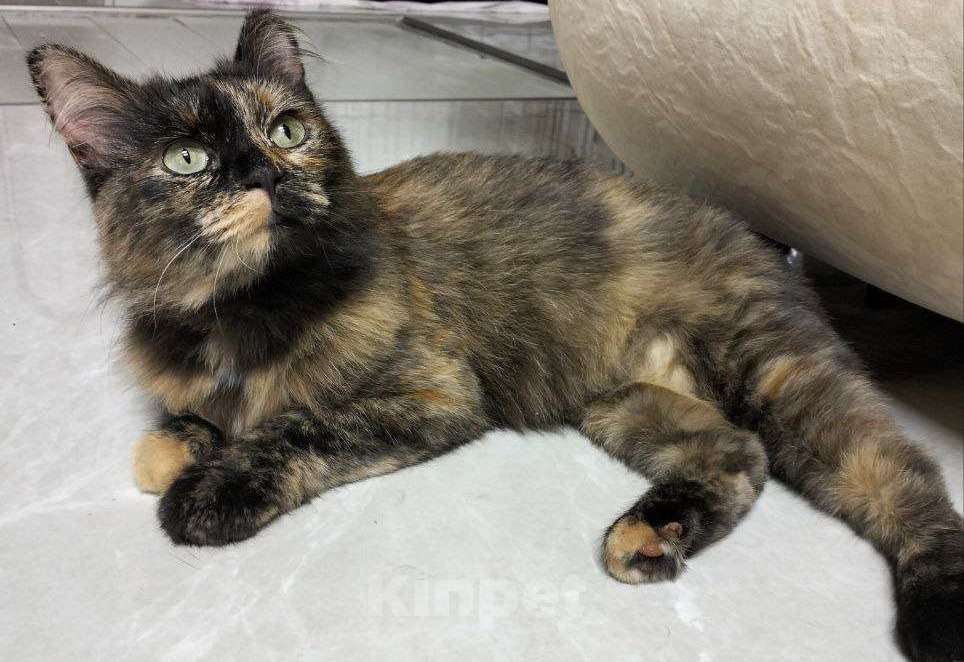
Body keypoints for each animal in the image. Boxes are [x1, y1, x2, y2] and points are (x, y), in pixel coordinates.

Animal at [26, 10, 962, 661]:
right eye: (187, 159)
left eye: (286, 129)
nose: (262, 173)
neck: (251, 310)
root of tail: (753, 236)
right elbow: (179, 431)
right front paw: (181, 444)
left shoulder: (432, 394)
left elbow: (296, 426)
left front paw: (210, 490)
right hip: (625, 403)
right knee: (740, 457)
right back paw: (652, 535)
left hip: (777, 374)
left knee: (906, 476)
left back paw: (937, 608)